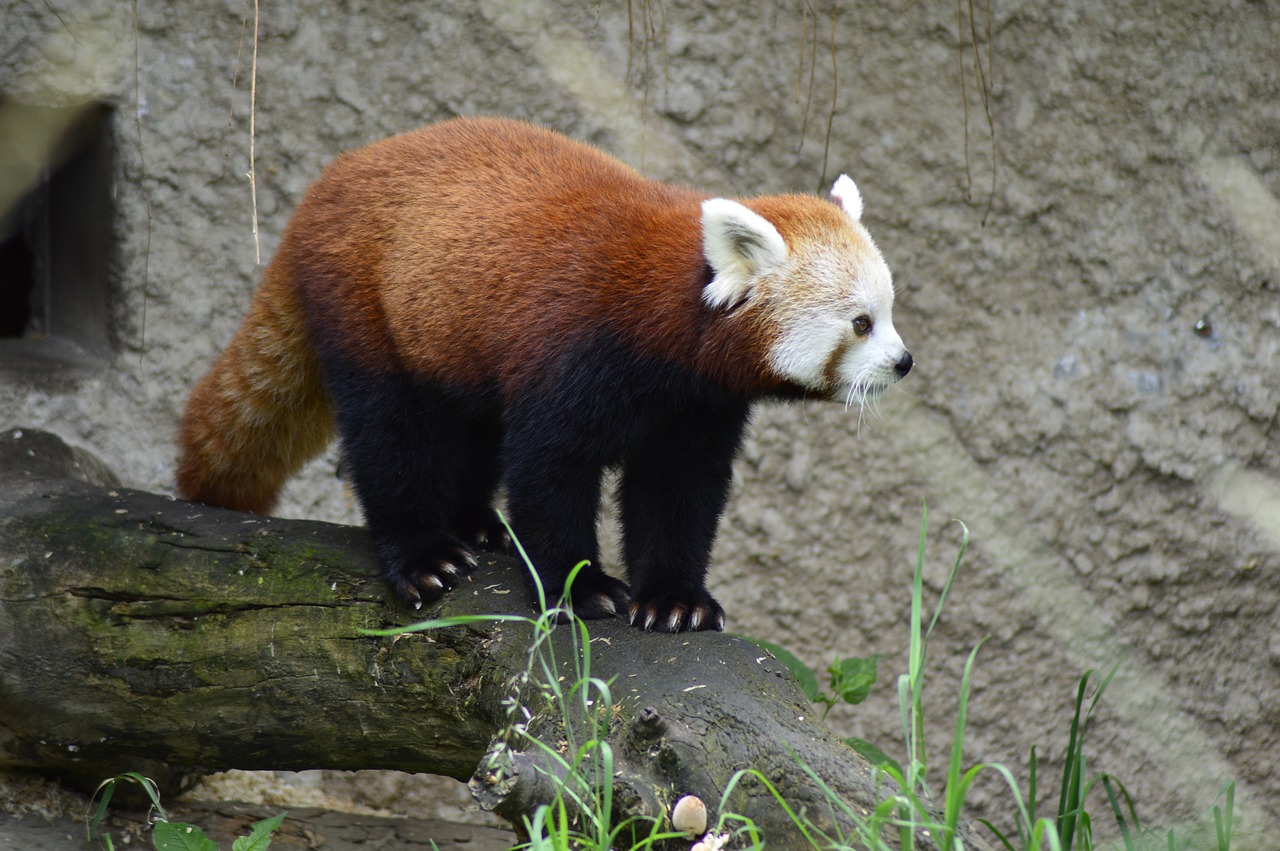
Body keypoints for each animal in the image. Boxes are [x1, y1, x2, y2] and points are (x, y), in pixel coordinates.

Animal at [177, 116, 911, 627]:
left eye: (891, 312)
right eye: (860, 324)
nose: (904, 363)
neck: (666, 329)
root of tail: (329, 181)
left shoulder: (695, 407)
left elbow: (678, 492)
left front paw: (676, 599)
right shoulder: (575, 350)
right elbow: (549, 471)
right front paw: (580, 587)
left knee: (469, 427)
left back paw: (474, 521)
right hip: (367, 304)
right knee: (392, 434)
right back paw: (424, 552)